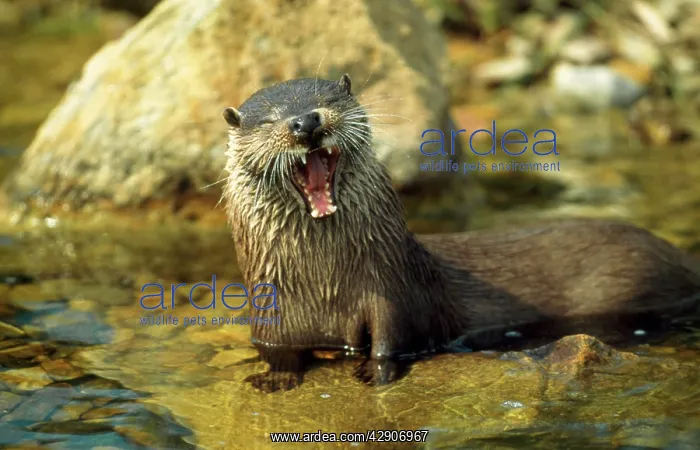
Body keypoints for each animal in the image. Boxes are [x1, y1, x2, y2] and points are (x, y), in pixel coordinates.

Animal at [221, 75, 700, 392]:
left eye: (328, 97)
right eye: (269, 120)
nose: (305, 122)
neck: (326, 286)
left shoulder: (391, 291)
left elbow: (390, 339)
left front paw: (376, 372)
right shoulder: (271, 315)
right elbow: (278, 352)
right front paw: (276, 378)